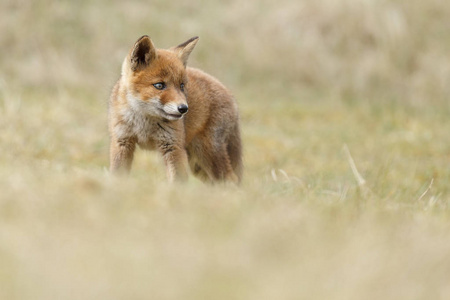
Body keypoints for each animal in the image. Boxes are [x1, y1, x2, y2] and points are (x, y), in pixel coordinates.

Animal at [108, 35, 243, 183]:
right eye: (159, 85)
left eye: (182, 86)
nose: (183, 108)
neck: (144, 123)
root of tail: (228, 92)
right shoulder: (122, 142)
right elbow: (118, 175)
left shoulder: (173, 147)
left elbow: (177, 182)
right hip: (197, 164)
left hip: (207, 153)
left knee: (231, 179)